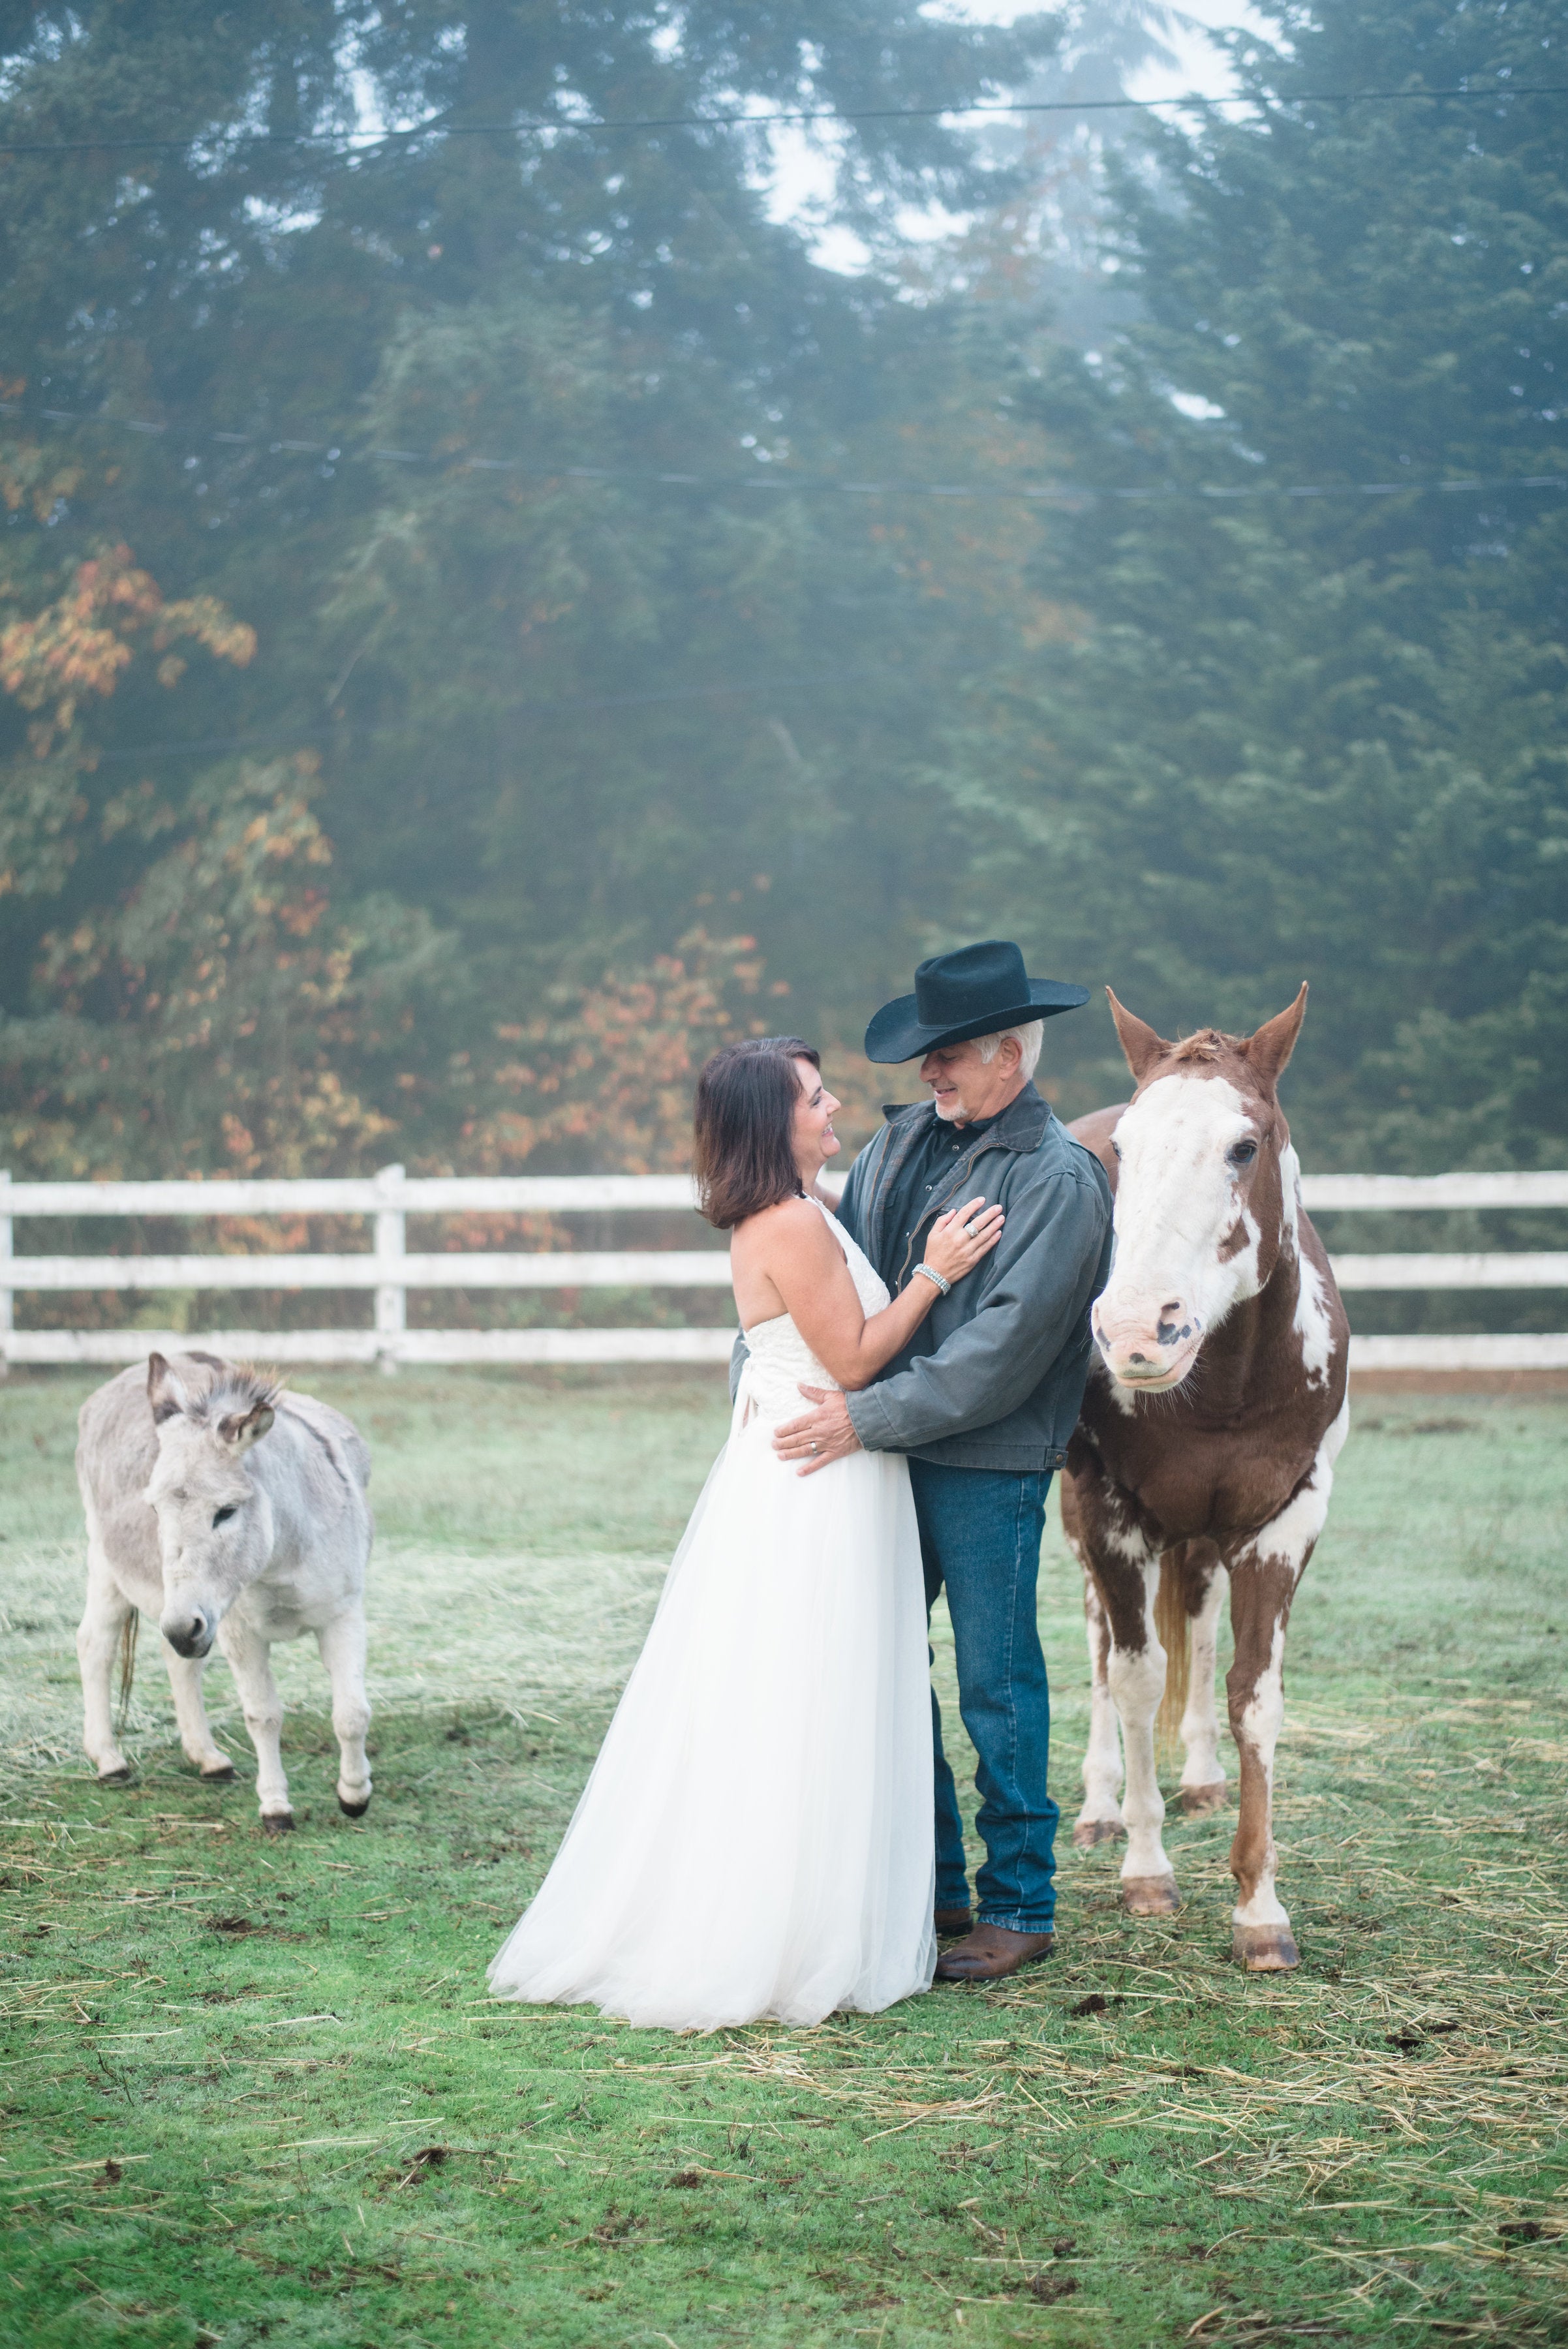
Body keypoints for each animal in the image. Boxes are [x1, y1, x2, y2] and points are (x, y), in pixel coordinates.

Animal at [1066, 981, 1352, 1973]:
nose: (1132, 1331)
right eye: (1123, 1150)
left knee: (1193, 1613)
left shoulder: (1284, 1522)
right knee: (1102, 1645)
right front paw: (1146, 1870)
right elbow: (1134, 1677)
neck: (1226, 1384)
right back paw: (1100, 1805)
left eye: (1243, 1146)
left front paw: (1260, 1911)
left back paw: (1196, 1777)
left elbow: (1252, 1697)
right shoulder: (1108, 1515)